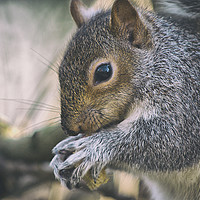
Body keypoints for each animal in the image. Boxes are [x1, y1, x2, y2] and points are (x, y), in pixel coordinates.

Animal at [50, 0, 200, 200]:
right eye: (60, 71)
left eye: (104, 72)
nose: (70, 128)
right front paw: (63, 151)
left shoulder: (187, 100)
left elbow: (171, 140)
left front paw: (93, 147)